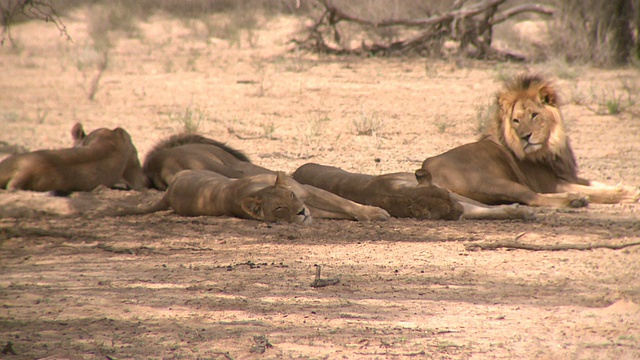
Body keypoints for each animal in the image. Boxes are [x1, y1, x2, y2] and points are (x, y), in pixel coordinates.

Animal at [420, 73, 640, 207]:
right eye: (516, 120)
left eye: (534, 115)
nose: (526, 136)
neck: (550, 148)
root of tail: (426, 171)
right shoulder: (551, 184)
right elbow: (597, 192)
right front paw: (627, 193)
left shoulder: (566, 175)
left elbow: (596, 183)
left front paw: (628, 187)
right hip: (492, 181)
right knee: (533, 198)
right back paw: (575, 199)